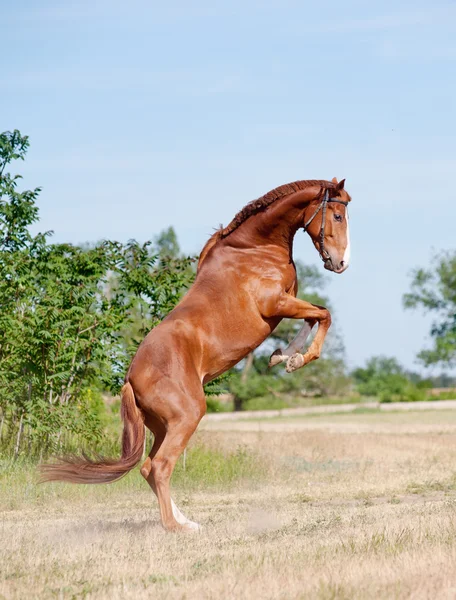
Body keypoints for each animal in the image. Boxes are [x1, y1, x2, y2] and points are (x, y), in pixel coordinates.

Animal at [41, 176, 352, 532]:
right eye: (338, 216)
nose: (341, 263)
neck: (254, 248)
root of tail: (130, 379)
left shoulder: (288, 302)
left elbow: (314, 315)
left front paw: (282, 356)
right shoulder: (276, 303)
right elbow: (323, 314)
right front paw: (295, 360)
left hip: (163, 426)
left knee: (148, 467)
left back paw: (186, 521)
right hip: (187, 416)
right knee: (160, 466)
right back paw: (175, 527)